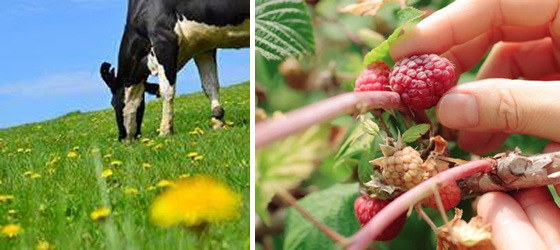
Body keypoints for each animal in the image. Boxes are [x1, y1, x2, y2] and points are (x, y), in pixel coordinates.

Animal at [100, 0, 249, 141]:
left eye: (113, 103)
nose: (121, 138)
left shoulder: (164, 40)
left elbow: (166, 90)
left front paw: (165, 131)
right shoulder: (203, 46)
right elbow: (210, 85)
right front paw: (218, 121)